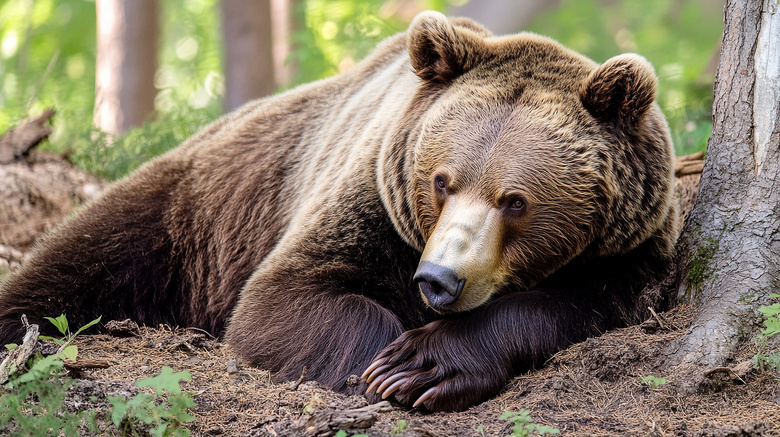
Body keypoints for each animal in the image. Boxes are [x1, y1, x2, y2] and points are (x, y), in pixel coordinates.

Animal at [0, 11, 676, 410]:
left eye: (515, 200)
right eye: (441, 181)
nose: (439, 280)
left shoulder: (629, 250)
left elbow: (575, 306)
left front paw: (427, 365)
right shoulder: (372, 203)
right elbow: (285, 297)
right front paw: (388, 367)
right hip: (192, 210)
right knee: (77, 264)